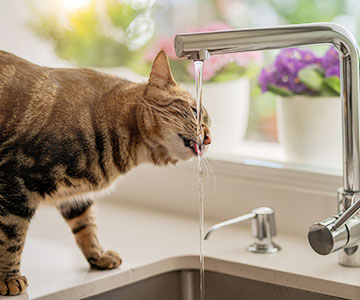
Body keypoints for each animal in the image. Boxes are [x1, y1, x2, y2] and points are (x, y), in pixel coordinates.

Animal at [0, 49, 211, 296]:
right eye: (194, 111)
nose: (209, 138)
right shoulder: (17, 181)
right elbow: (11, 235)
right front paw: (8, 277)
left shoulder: (74, 196)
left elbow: (86, 225)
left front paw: (98, 256)